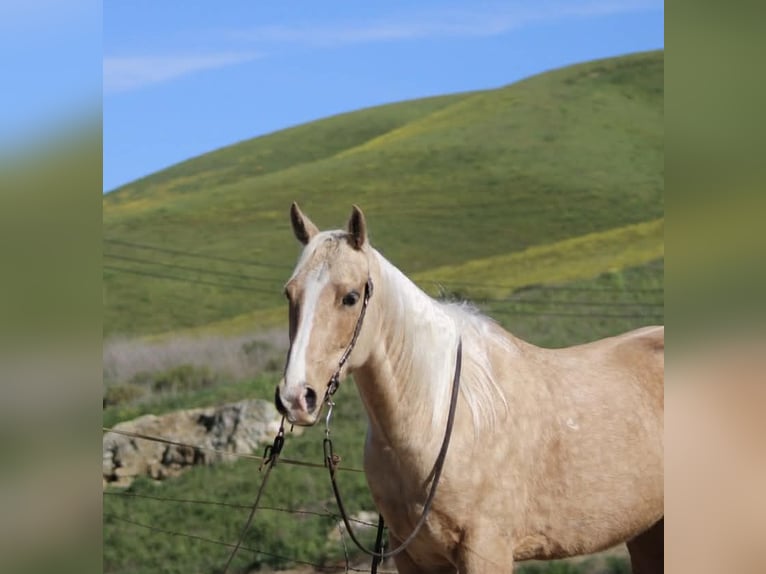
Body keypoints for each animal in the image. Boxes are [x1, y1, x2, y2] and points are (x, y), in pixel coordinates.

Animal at [275, 203, 664, 574]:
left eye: (351, 297)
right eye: (289, 294)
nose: (296, 397)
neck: (440, 415)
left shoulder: (486, 551)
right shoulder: (413, 557)